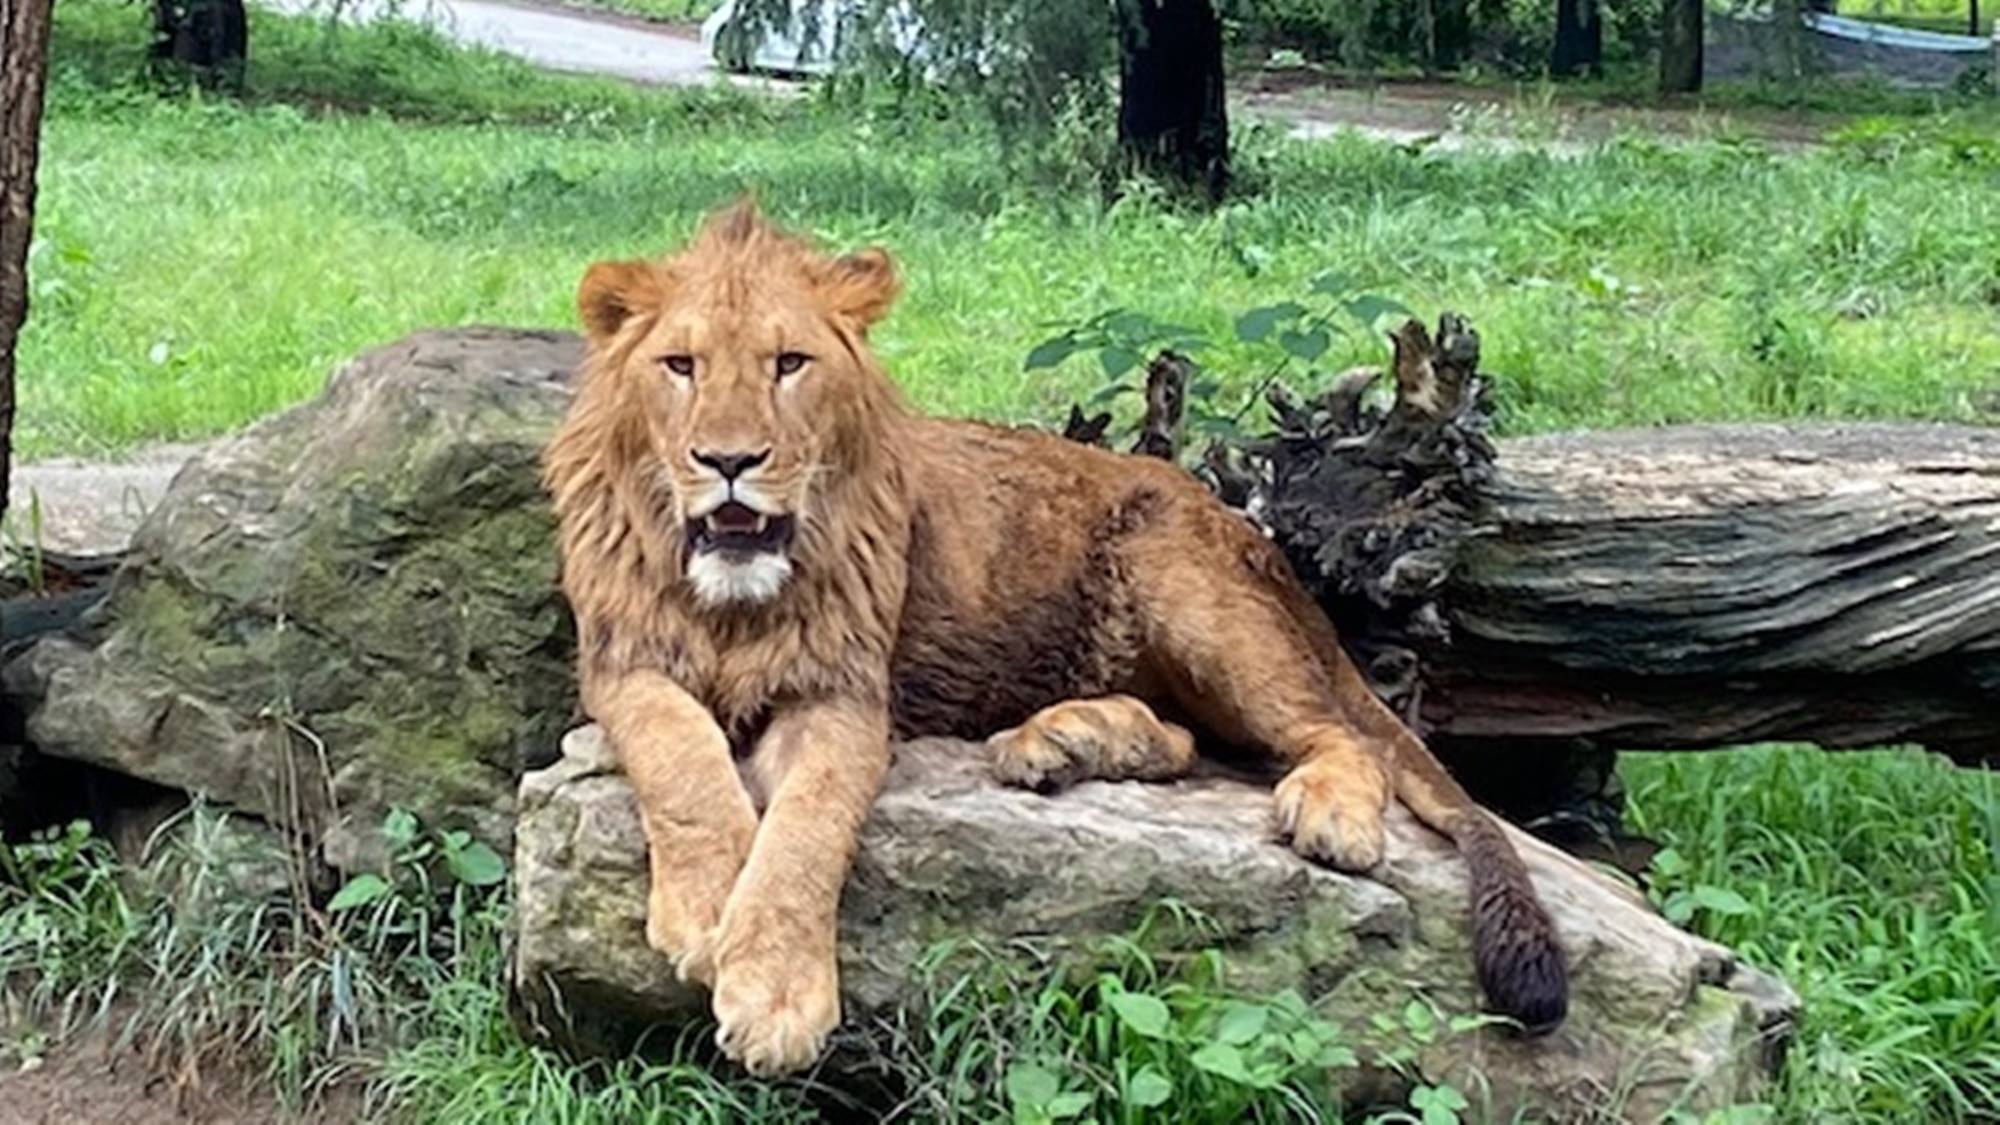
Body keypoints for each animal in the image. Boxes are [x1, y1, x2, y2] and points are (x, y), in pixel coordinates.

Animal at [540, 197, 1568, 1072]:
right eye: (681, 366)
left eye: (789, 363)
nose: (729, 461)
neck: (733, 598)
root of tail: (1243, 525)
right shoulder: (622, 664)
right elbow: (683, 765)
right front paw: (712, 907)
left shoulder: (844, 694)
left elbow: (805, 829)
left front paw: (776, 995)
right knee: (1189, 741)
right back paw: (1065, 742)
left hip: (1184, 584)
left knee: (1334, 733)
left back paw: (1329, 812)